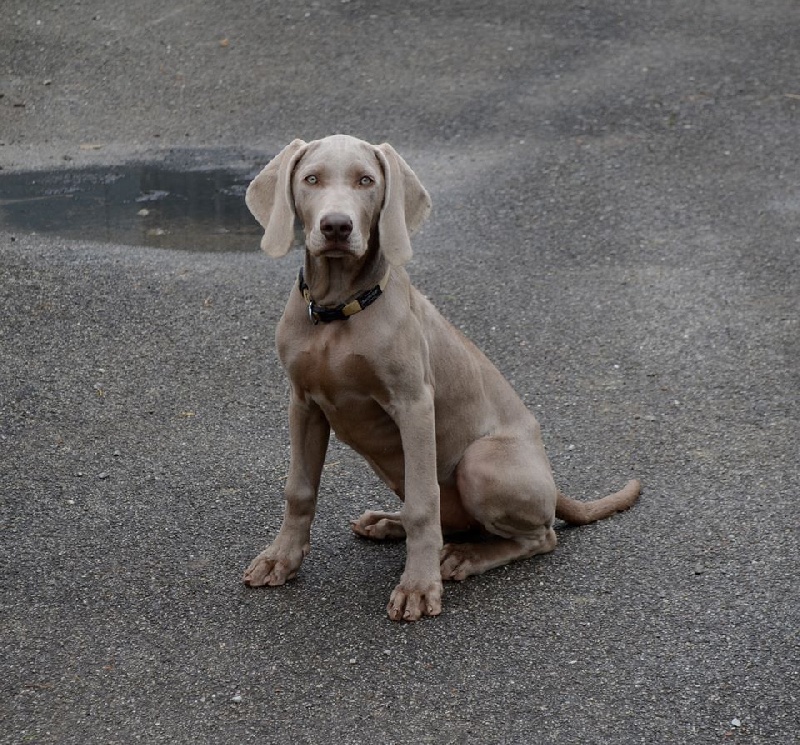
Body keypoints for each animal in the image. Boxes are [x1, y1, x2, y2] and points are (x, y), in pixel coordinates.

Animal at [241, 135, 640, 620]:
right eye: (311, 179)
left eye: (366, 181)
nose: (336, 226)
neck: (338, 312)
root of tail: (553, 484)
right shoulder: (303, 403)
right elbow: (299, 489)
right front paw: (281, 558)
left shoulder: (413, 404)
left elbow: (422, 503)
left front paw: (417, 586)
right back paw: (387, 523)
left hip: (481, 462)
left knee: (538, 536)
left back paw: (464, 558)